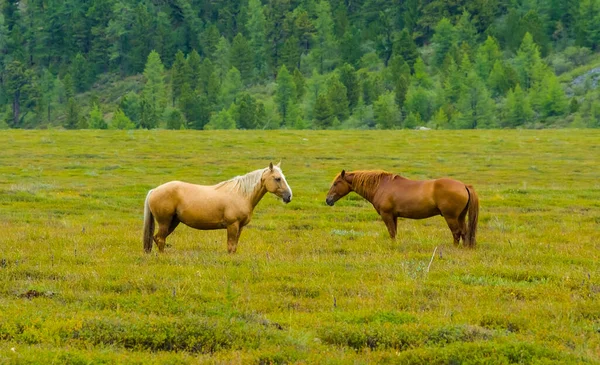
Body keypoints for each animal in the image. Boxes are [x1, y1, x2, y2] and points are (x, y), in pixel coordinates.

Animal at [141, 162, 290, 253]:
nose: (289, 196)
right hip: (164, 222)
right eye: (277, 178)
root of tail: (154, 191)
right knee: (160, 239)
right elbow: (230, 246)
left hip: (173, 222)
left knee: (157, 238)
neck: (241, 194)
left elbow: (234, 247)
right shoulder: (232, 225)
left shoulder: (240, 227)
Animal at [326, 169, 480, 246]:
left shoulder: (387, 215)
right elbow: (394, 232)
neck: (381, 186)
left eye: (336, 183)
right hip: (460, 216)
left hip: (451, 217)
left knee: (457, 233)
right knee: (464, 233)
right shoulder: (394, 216)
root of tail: (464, 185)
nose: (328, 200)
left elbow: (391, 232)